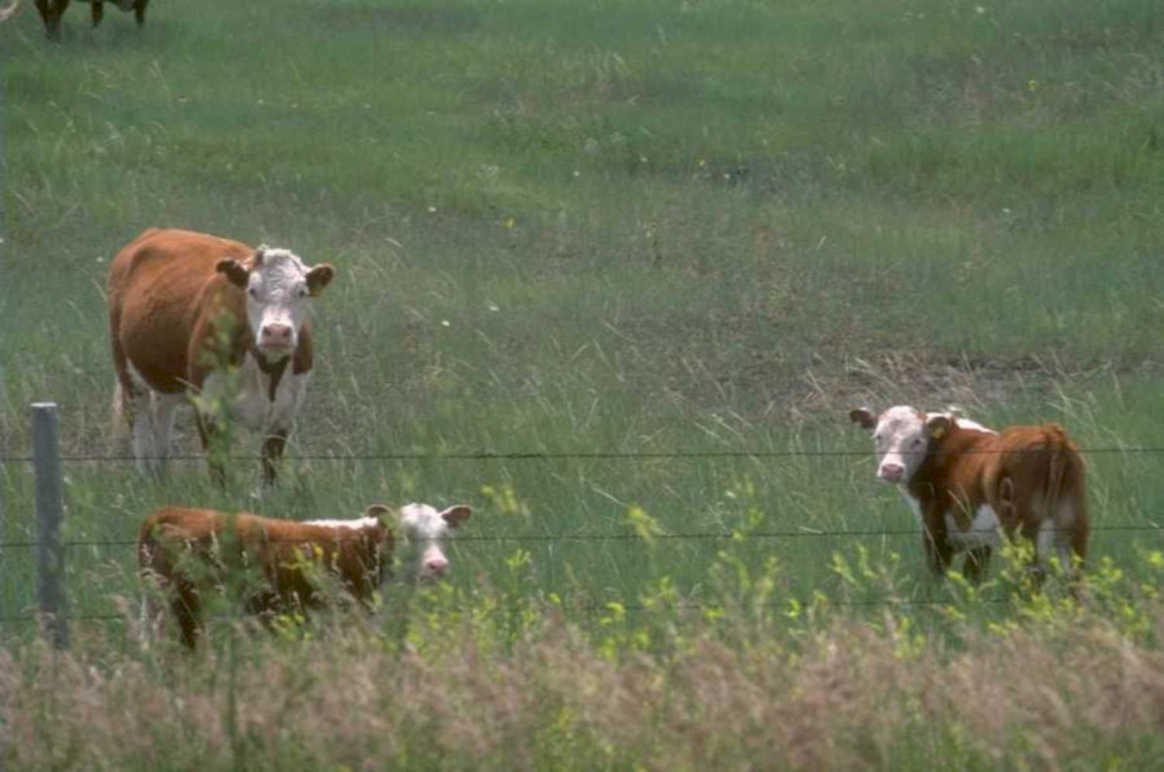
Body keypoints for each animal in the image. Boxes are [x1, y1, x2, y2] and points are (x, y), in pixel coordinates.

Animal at [108, 228, 335, 485]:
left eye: (302, 293)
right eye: (252, 291)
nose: (276, 332)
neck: (264, 368)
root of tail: (156, 231)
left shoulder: (284, 413)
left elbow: (269, 472)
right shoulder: (209, 406)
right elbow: (219, 472)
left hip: (165, 381)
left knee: (162, 422)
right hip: (128, 376)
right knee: (141, 432)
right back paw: (148, 481)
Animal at [849, 405, 1088, 587]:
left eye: (917, 440)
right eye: (878, 437)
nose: (891, 469)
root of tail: (1050, 434)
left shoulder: (934, 527)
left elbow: (938, 572)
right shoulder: (978, 537)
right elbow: (973, 575)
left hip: (1023, 532)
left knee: (1033, 577)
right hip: (1074, 525)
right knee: (1076, 577)